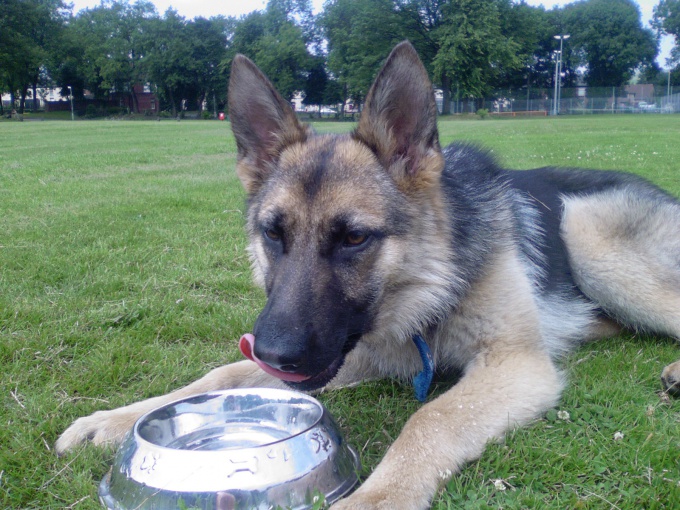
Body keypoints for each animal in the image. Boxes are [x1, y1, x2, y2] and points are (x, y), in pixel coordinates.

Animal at [57, 41, 680, 508]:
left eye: (354, 238)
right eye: (273, 234)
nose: (276, 354)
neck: (427, 289)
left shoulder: (515, 365)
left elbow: (432, 419)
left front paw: (377, 497)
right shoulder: (351, 352)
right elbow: (221, 375)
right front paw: (116, 419)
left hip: (587, 233)